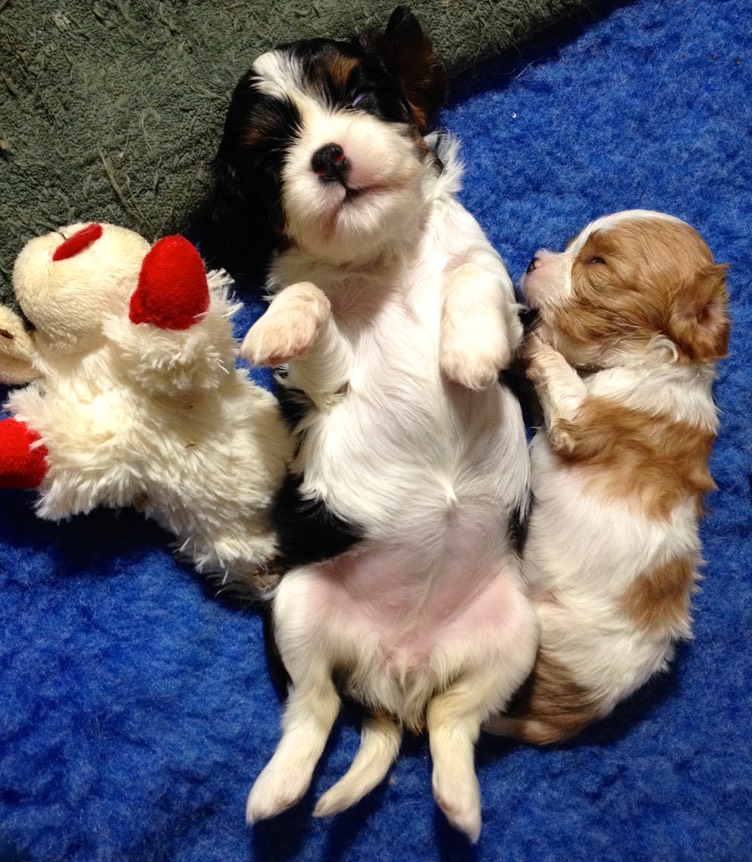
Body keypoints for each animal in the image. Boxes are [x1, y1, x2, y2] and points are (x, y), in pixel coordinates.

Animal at [203, 6, 536, 844]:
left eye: (361, 98)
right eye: (271, 159)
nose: (327, 155)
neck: (381, 257)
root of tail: (398, 677)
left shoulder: (492, 273)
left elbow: (474, 274)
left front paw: (469, 355)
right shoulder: (324, 390)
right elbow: (311, 306)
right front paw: (280, 326)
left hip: (516, 635)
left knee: (456, 722)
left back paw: (459, 802)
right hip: (297, 608)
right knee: (315, 709)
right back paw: (279, 792)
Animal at [484, 211, 732, 748]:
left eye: (597, 263)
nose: (533, 260)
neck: (654, 361)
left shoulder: (583, 419)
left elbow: (553, 363)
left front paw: (529, 331)